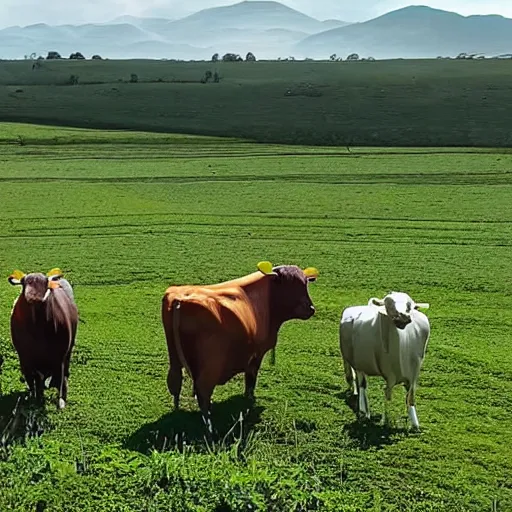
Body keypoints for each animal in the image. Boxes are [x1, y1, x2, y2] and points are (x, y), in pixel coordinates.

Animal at [8, 268, 78, 408]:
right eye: (24, 283)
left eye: (45, 283)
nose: (33, 297)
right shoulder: (25, 358)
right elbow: (34, 380)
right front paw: (36, 398)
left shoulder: (59, 356)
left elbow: (60, 379)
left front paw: (61, 400)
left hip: (68, 350)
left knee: (64, 373)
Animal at [162, 260, 318, 432]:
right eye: (289, 285)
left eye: (305, 284)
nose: (311, 309)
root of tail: (180, 299)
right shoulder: (256, 354)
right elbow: (251, 378)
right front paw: (249, 397)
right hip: (209, 366)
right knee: (203, 391)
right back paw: (209, 425)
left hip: (174, 359)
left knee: (175, 383)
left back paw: (177, 411)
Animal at [340, 292, 432, 428]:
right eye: (388, 304)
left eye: (409, 305)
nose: (403, 317)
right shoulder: (389, 375)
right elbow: (388, 396)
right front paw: (387, 421)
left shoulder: (414, 374)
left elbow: (410, 397)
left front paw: (415, 425)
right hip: (357, 361)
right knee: (361, 385)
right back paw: (364, 411)